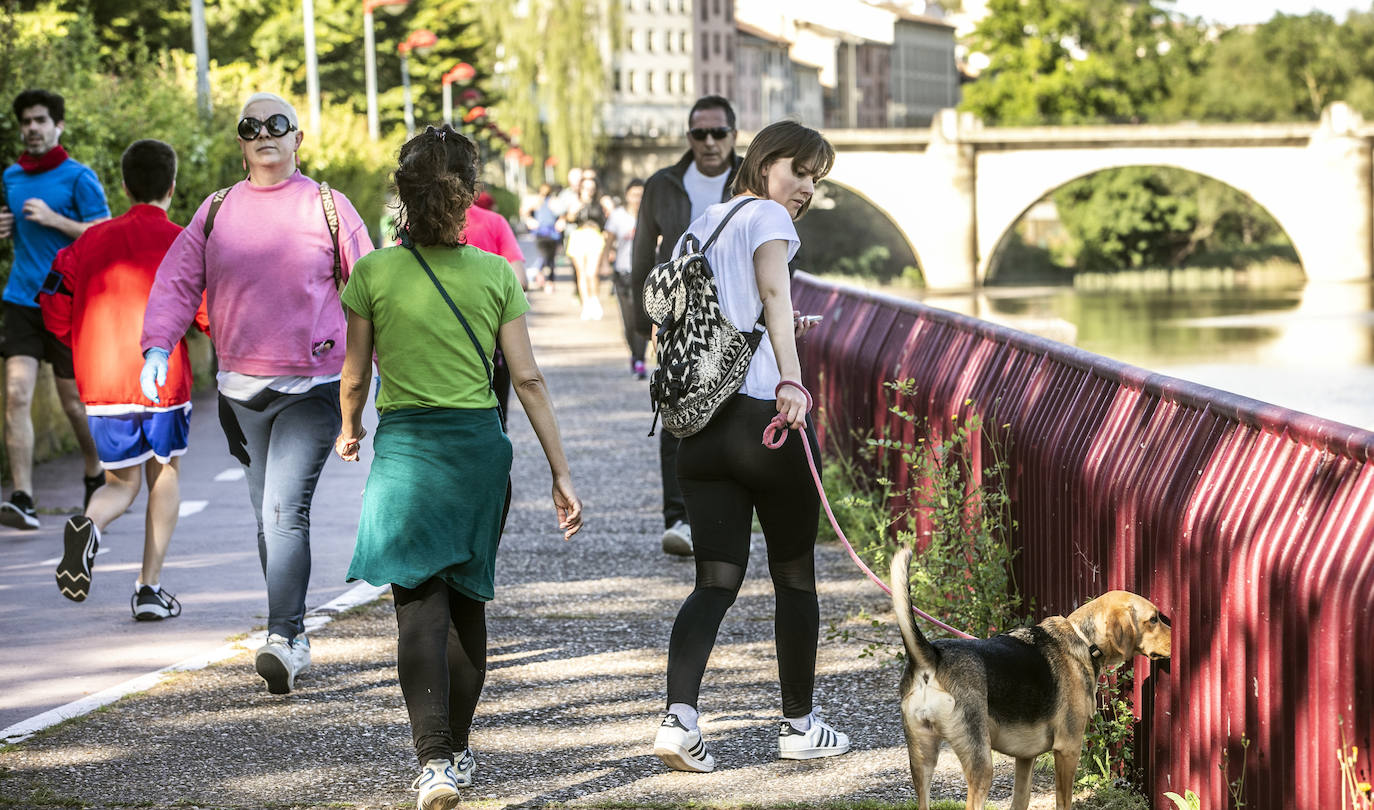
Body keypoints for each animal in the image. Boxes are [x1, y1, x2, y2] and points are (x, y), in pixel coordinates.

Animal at [890, 549, 1170, 807]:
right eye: (1154, 619)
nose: (1175, 638)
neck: (1083, 639)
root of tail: (933, 656)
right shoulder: (1067, 749)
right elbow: (1063, 802)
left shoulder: (1025, 758)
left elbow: (1020, 799)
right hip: (980, 765)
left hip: (921, 761)